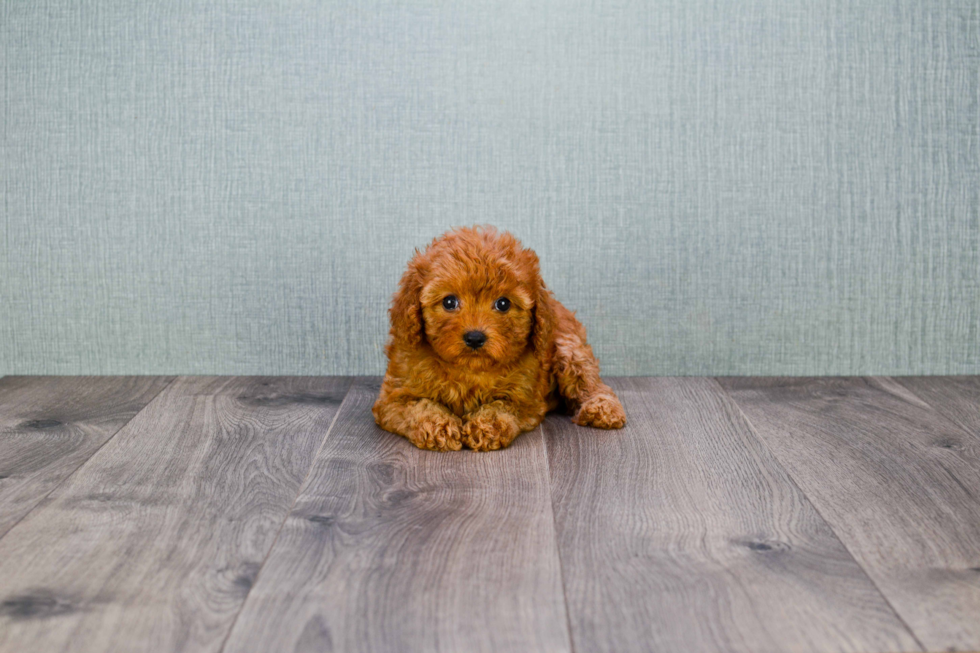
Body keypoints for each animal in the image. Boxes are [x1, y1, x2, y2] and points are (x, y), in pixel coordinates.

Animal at [372, 227, 624, 450]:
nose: (475, 337)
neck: (470, 370)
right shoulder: (393, 396)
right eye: (449, 302)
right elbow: (420, 407)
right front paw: (438, 427)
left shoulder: (525, 399)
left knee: (592, 384)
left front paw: (485, 427)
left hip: (569, 349)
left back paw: (603, 409)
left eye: (503, 303)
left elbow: (501, 406)